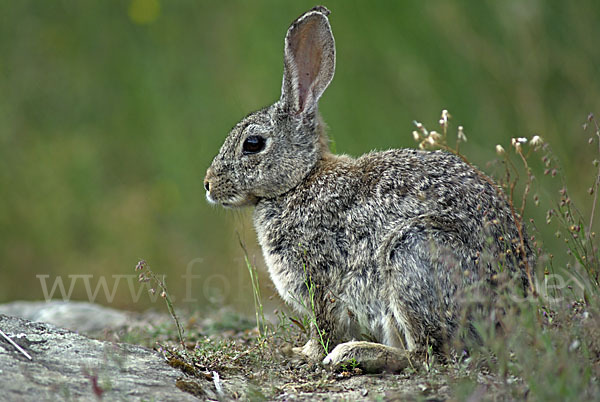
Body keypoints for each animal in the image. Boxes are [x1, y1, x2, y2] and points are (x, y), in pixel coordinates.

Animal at [204, 4, 532, 372]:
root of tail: (514, 308)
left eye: (253, 144)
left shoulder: (322, 282)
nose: (208, 184)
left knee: (428, 355)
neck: (301, 180)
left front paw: (305, 355)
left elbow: (325, 328)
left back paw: (356, 353)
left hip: (411, 257)